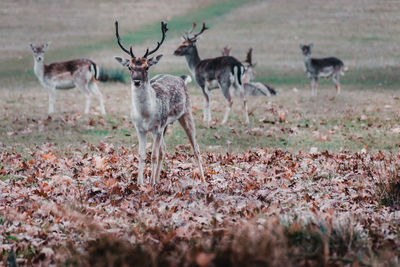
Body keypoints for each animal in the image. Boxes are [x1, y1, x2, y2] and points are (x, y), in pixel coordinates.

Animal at [113, 21, 205, 185]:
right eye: (129, 66)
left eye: (146, 66)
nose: (136, 81)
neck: (145, 115)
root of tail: (182, 78)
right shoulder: (140, 129)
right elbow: (142, 155)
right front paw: (140, 183)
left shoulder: (158, 127)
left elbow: (153, 155)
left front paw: (150, 183)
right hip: (166, 125)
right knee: (164, 148)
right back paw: (157, 179)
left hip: (186, 113)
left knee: (196, 147)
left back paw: (203, 180)